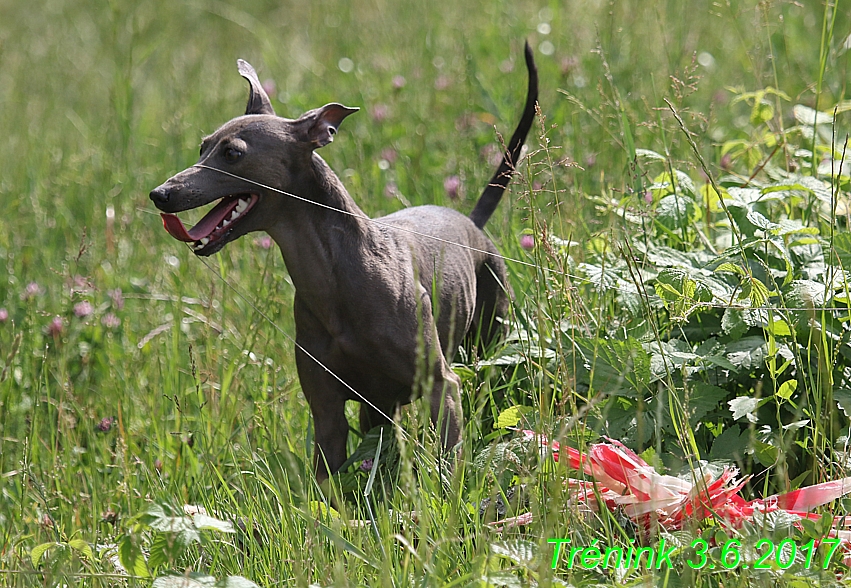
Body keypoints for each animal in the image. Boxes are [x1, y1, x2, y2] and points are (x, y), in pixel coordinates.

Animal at [151, 42, 540, 482]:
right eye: (202, 147)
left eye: (233, 153)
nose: (160, 194)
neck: (339, 278)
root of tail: (471, 222)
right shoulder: (327, 411)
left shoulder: (442, 388)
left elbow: (447, 465)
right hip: (379, 411)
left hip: (492, 343)